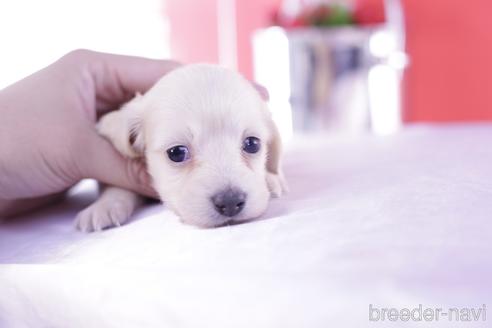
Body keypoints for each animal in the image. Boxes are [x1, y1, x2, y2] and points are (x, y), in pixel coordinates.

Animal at [75, 65, 286, 232]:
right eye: (177, 153)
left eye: (252, 144)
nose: (230, 202)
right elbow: (116, 185)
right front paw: (104, 206)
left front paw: (271, 178)